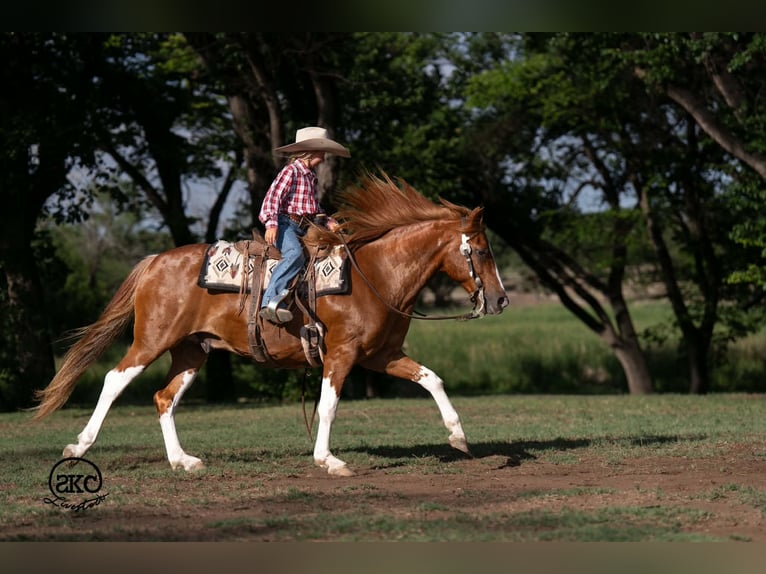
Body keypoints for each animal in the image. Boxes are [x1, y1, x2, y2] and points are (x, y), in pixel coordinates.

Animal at [32, 172, 509, 477]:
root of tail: (155, 261)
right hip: (150, 341)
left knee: (164, 397)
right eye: (483, 250)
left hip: (191, 350)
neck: (377, 275)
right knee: (114, 380)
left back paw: (183, 461)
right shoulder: (342, 354)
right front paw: (329, 461)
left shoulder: (382, 356)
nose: (501, 299)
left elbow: (432, 379)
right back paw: (78, 446)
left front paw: (458, 438)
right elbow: (329, 405)